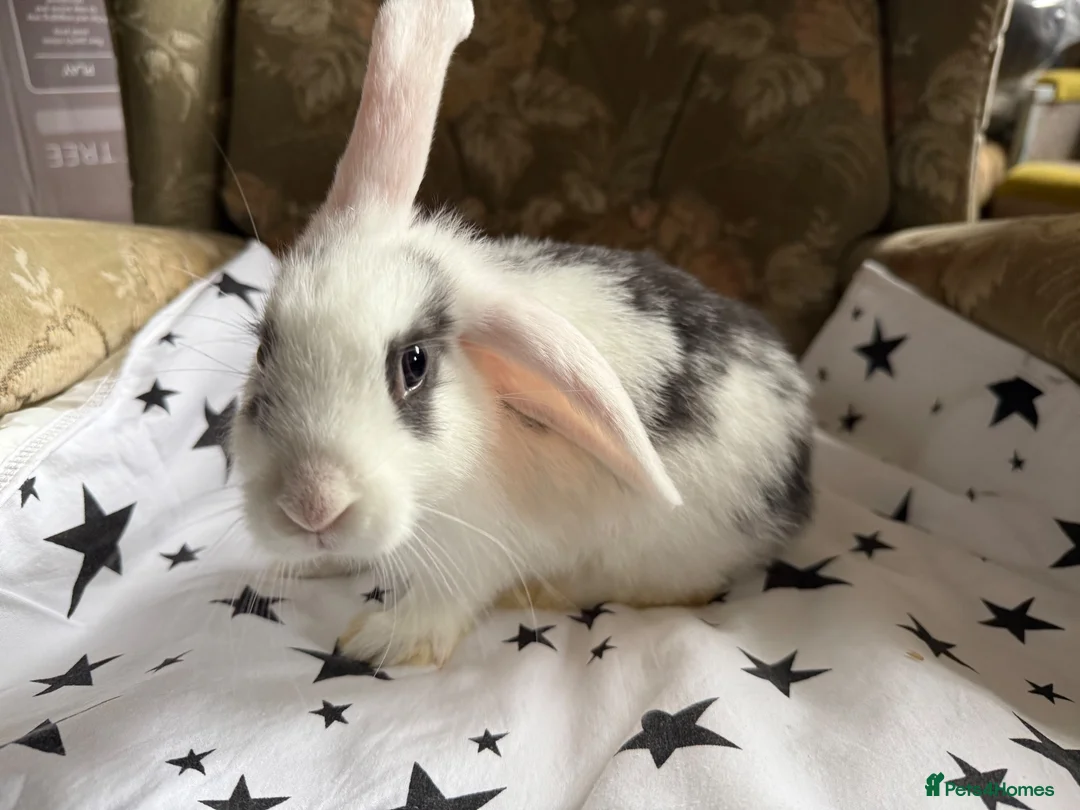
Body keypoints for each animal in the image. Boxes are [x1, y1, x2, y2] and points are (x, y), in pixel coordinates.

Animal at [227, 0, 815, 668]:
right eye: (262, 349)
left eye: (413, 364)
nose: (311, 506)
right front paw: (302, 567)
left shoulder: (477, 552)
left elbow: (442, 603)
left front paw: (378, 640)